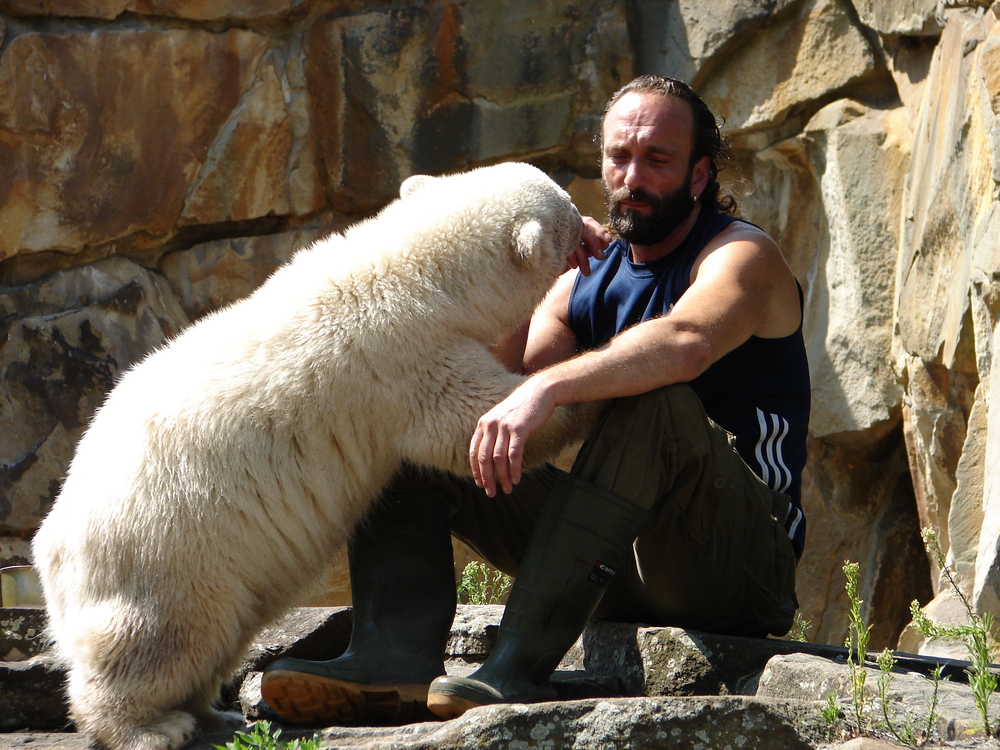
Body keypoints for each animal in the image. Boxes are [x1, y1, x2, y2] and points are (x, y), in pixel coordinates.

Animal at [33, 164, 592, 750]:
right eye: (566, 210)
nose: (590, 220)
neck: (413, 271)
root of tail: (51, 550)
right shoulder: (406, 359)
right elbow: (469, 421)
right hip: (166, 552)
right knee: (160, 638)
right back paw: (150, 726)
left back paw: (216, 715)